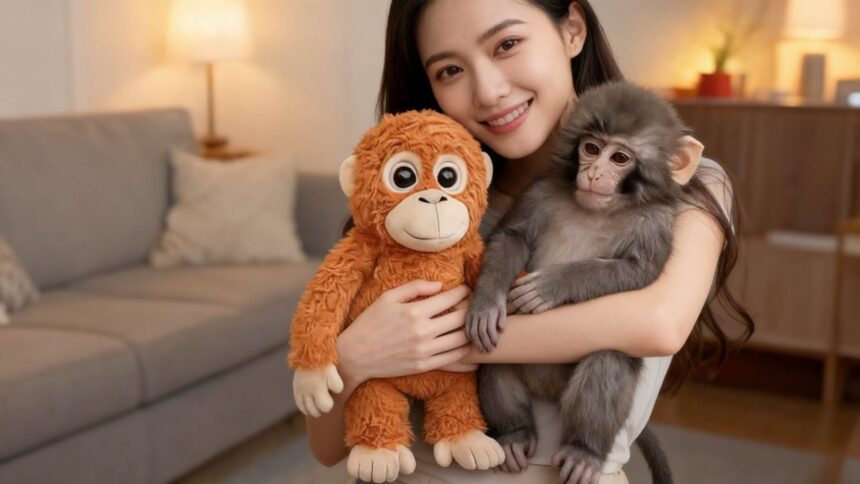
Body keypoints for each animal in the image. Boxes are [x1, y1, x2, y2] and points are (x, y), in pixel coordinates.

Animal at [465, 81, 705, 484]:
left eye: (620, 158)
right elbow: (513, 237)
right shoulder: (541, 190)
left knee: (608, 359)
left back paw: (584, 450)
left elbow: (637, 272)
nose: (593, 174)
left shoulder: (654, 221)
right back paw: (514, 433)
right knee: (494, 364)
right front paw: (487, 302)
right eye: (591, 148)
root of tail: (547, 390)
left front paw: (552, 286)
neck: (600, 209)